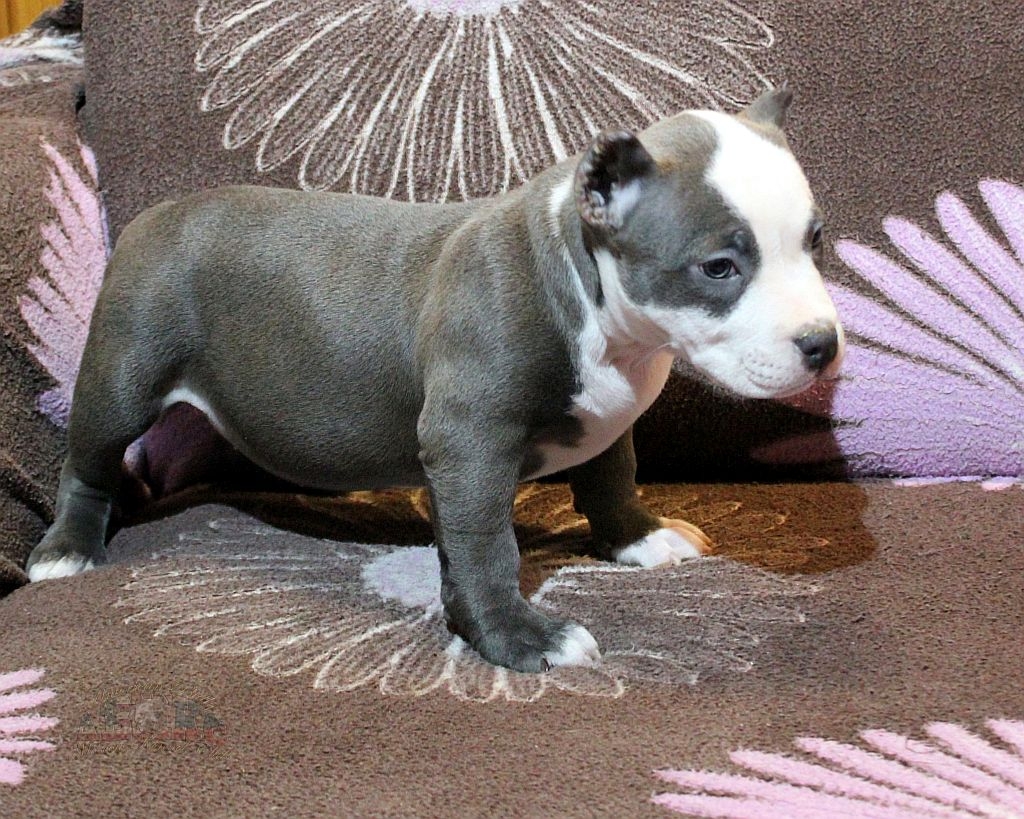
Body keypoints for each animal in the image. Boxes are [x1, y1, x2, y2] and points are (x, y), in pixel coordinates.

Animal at [26, 88, 843, 672]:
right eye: (719, 267)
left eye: (813, 240)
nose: (823, 343)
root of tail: (156, 213)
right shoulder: (470, 444)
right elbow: (485, 547)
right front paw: (518, 639)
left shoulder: (609, 416)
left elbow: (612, 477)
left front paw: (637, 540)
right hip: (121, 374)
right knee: (89, 462)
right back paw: (68, 547)